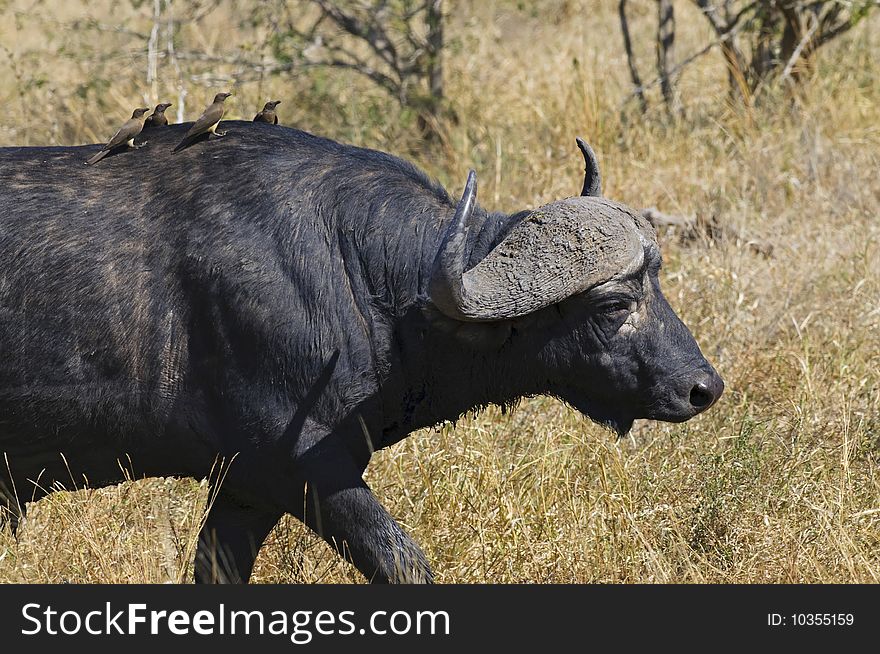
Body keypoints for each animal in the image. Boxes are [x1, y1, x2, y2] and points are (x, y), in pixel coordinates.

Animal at [0, 123, 720, 584]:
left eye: (656, 279)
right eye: (612, 305)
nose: (702, 388)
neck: (349, 268)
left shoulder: (243, 491)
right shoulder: (300, 466)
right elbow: (402, 562)